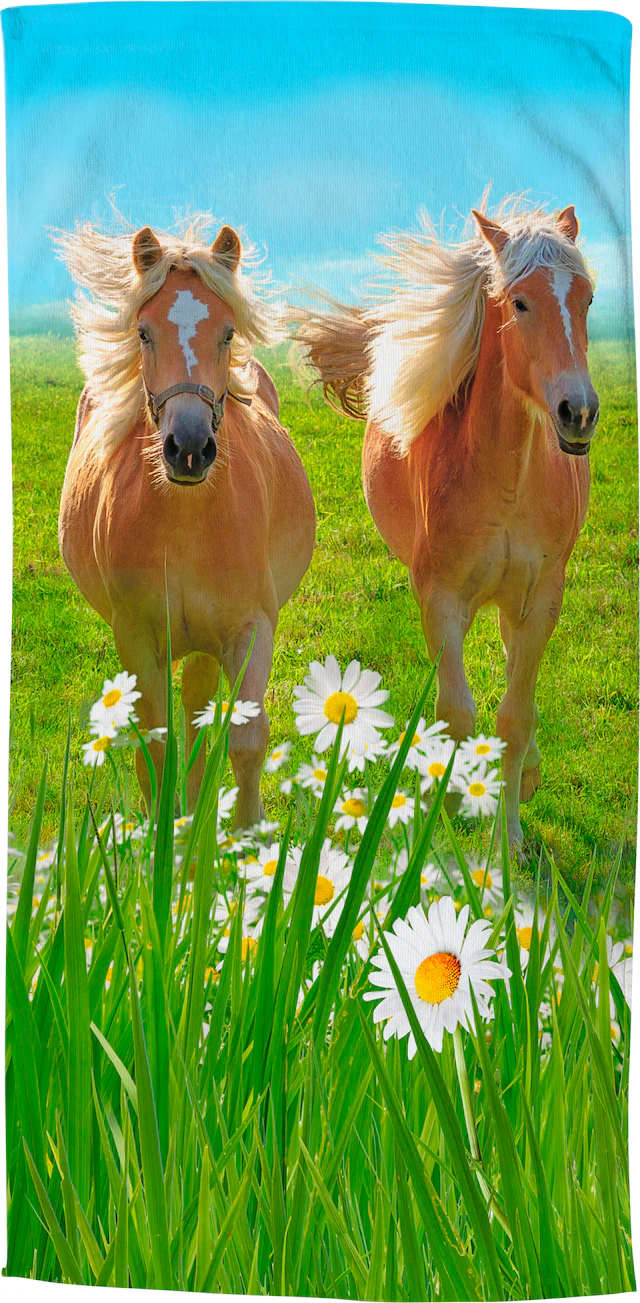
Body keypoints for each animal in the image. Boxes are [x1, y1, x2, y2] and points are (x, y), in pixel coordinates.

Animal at [56, 216, 315, 828]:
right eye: (144, 333)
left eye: (227, 333)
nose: (189, 448)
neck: (187, 525)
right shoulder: (135, 637)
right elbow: (153, 742)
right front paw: (160, 839)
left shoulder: (250, 629)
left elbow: (246, 740)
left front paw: (247, 838)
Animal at [292, 198, 599, 849]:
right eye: (519, 302)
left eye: (587, 299)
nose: (578, 412)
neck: (505, 481)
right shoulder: (440, 598)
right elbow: (457, 717)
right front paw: (451, 833)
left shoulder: (543, 597)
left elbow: (515, 715)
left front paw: (508, 839)